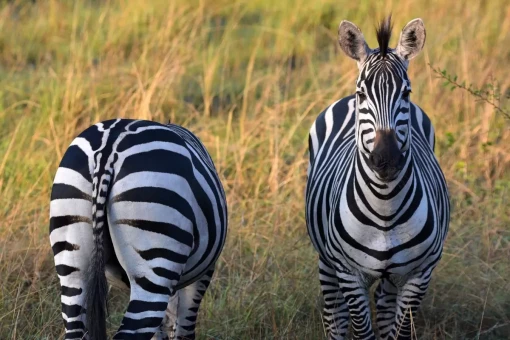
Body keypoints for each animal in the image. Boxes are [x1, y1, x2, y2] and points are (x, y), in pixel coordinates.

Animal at [48, 118, 228, 338]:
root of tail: (108, 149)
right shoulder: (202, 275)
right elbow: (184, 329)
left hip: (72, 260)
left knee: (74, 325)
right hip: (156, 257)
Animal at [304, 14, 448, 338]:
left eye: (406, 93)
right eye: (362, 95)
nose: (387, 159)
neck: (385, 206)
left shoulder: (419, 274)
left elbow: (401, 331)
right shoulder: (349, 273)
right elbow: (361, 330)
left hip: (390, 277)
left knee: (383, 307)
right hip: (327, 262)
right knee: (335, 316)